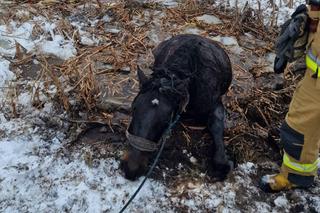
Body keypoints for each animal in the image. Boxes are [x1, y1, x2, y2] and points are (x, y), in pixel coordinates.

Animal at [120, 34, 232, 181]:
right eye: (134, 108)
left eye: (167, 120)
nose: (131, 168)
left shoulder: (216, 103)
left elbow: (217, 126)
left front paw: (222, 165)